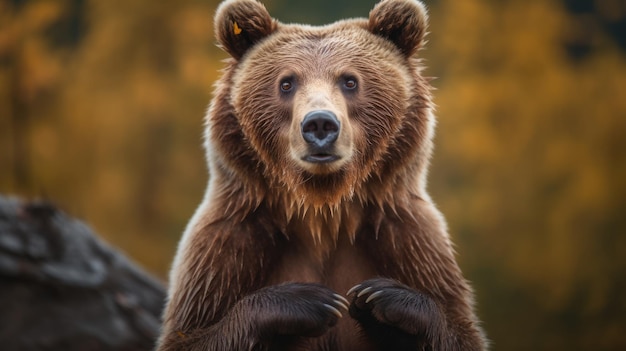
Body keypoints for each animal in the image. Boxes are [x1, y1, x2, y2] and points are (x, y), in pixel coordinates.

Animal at [157, 0, 488, 350]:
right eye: (286, 82)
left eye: (350, 81)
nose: (319, 124)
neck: (324, 210)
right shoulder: (229, 242)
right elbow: (193, 334)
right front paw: (311, 299)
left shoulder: (411, 242)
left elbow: (457, 329)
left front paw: (381, 297)